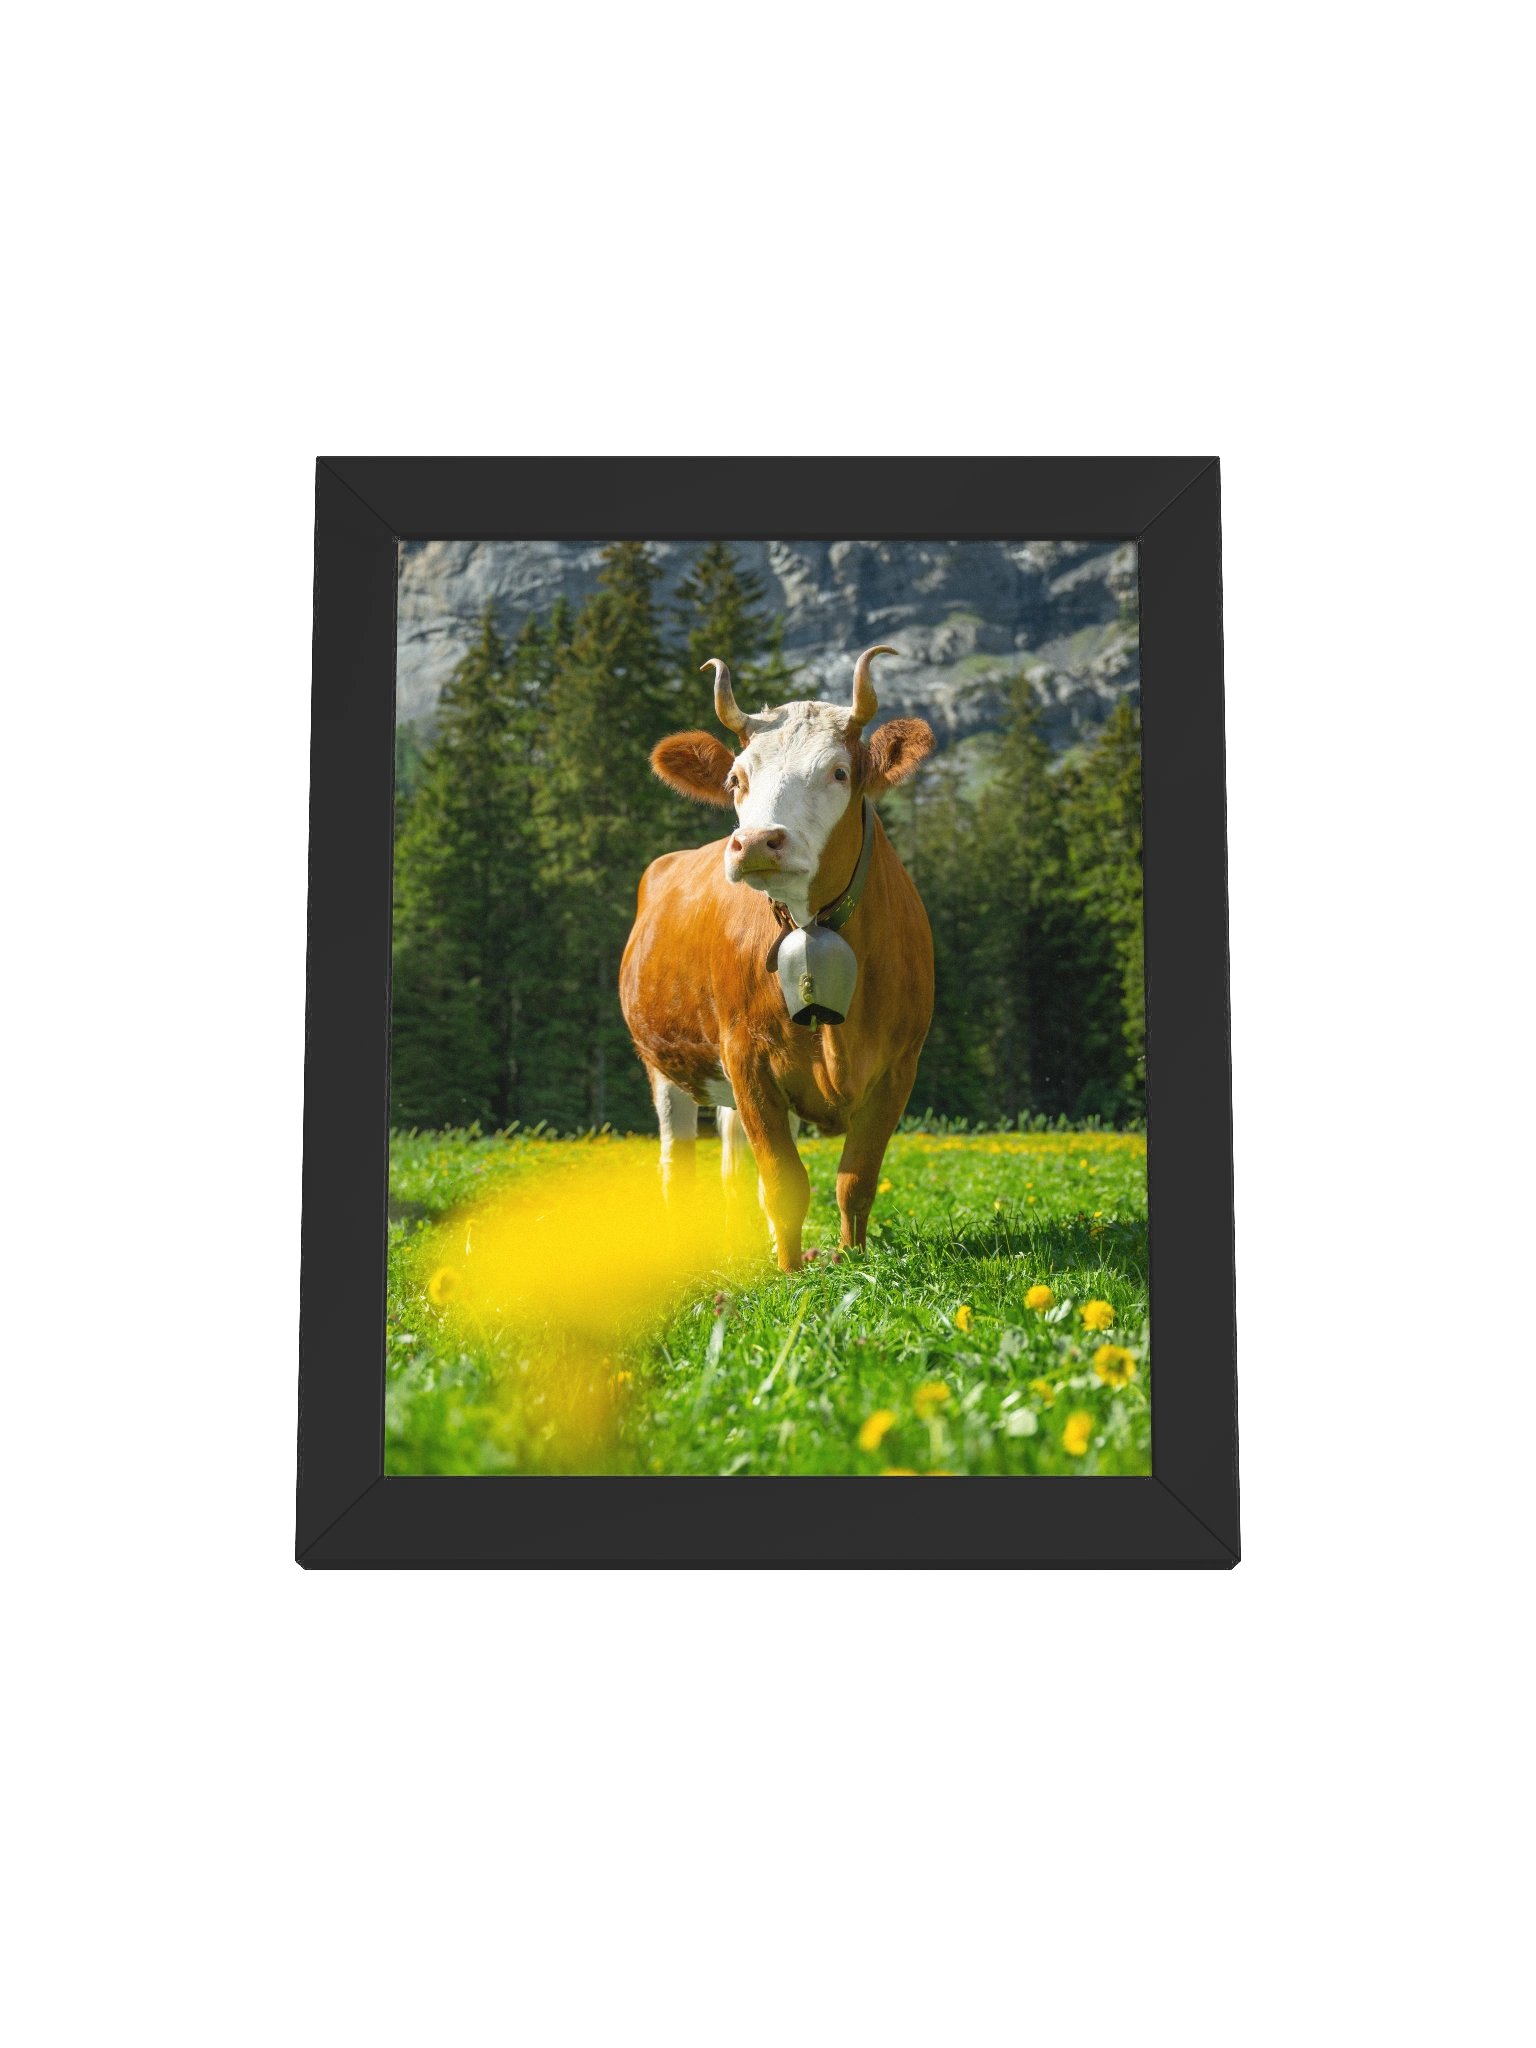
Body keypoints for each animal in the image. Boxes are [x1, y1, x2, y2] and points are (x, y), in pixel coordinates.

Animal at [619, 645, 935, 1272]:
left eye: (838, 772)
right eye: (736, 778)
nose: (756, 842)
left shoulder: (898, 1065)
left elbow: (855, 1180)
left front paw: (849, 1259)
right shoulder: (746, 1057)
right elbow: (785, 1181)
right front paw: (789, 1272)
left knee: (732, 1162)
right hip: (665, 1066)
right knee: (678, 1166)